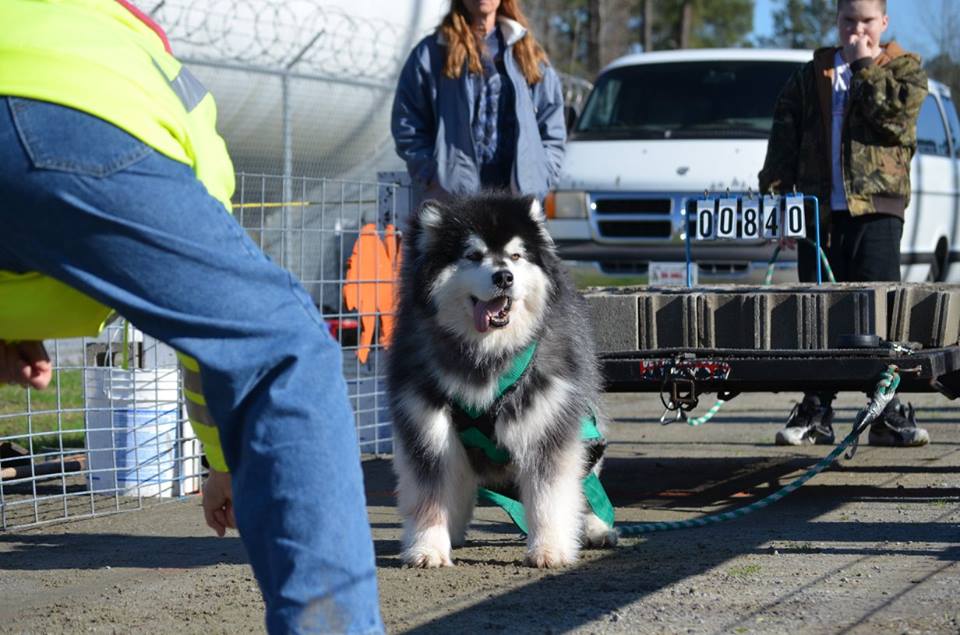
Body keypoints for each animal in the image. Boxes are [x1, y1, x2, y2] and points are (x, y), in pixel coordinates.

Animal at [388, 191, 620, 568]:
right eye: (473, 255)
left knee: (587, 481)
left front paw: (549, 549)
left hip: (587, 429)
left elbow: (550, 494)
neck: (488, 354)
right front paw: (428, 548)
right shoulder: (426, 423)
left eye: (515, 255)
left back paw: (596, 529)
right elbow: (430, 492)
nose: (504, 277)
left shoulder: (547, 420)